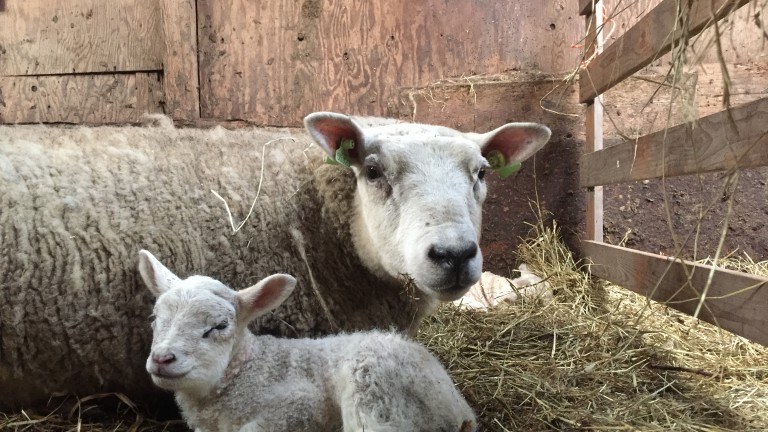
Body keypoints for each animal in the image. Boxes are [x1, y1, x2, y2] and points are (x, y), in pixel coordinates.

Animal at [140, 249, 477, 432]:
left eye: (219, 326)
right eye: (155, 318)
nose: (162, 359)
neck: (245, 370)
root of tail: (460, 409)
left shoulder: (301, 405)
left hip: (373, 390)